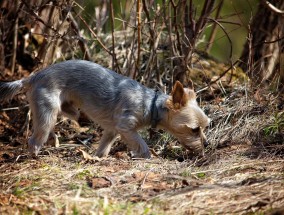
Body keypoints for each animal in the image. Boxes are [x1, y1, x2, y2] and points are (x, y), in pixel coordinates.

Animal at [0, 60, 210, 158]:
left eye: (205, 126)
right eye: (194, 129)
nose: (207, 144)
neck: (151, 104)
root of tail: (33, 76)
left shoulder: (112, 130)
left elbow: (104, 147)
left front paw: (97, 158)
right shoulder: (126, 127)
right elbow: (142, 145)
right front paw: (147, 157)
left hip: (64, 108)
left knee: (64, 115)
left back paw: (56, 137)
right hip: (47, 109)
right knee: (35, 138)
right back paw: (35, 154)